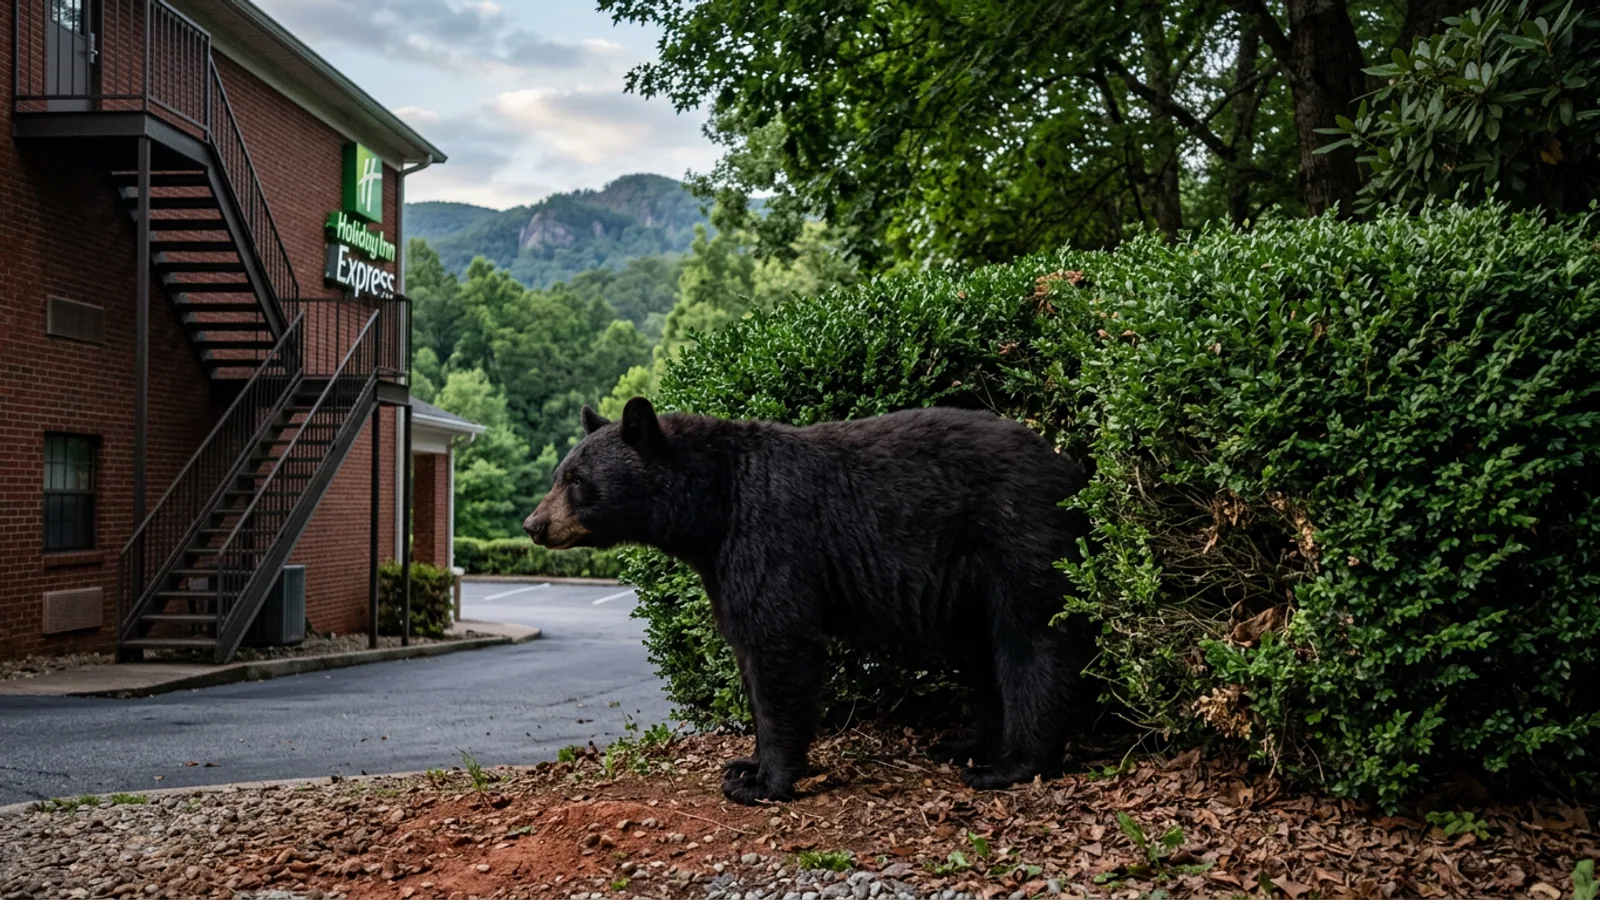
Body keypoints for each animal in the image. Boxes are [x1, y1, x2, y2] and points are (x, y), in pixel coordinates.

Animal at [523, 397, 1092, 805]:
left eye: (577, 481)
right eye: (558, 477)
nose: (534, 525)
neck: (713, 506)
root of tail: (1071, 470)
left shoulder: (769, 537)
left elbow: (778, 644)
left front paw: (763, 782)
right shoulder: (724, 564)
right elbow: (748, 654)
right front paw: (746, 762)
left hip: (1018, 536)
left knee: (1032, 642)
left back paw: (1012, 764)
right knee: (983, 654)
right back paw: (967, 746)